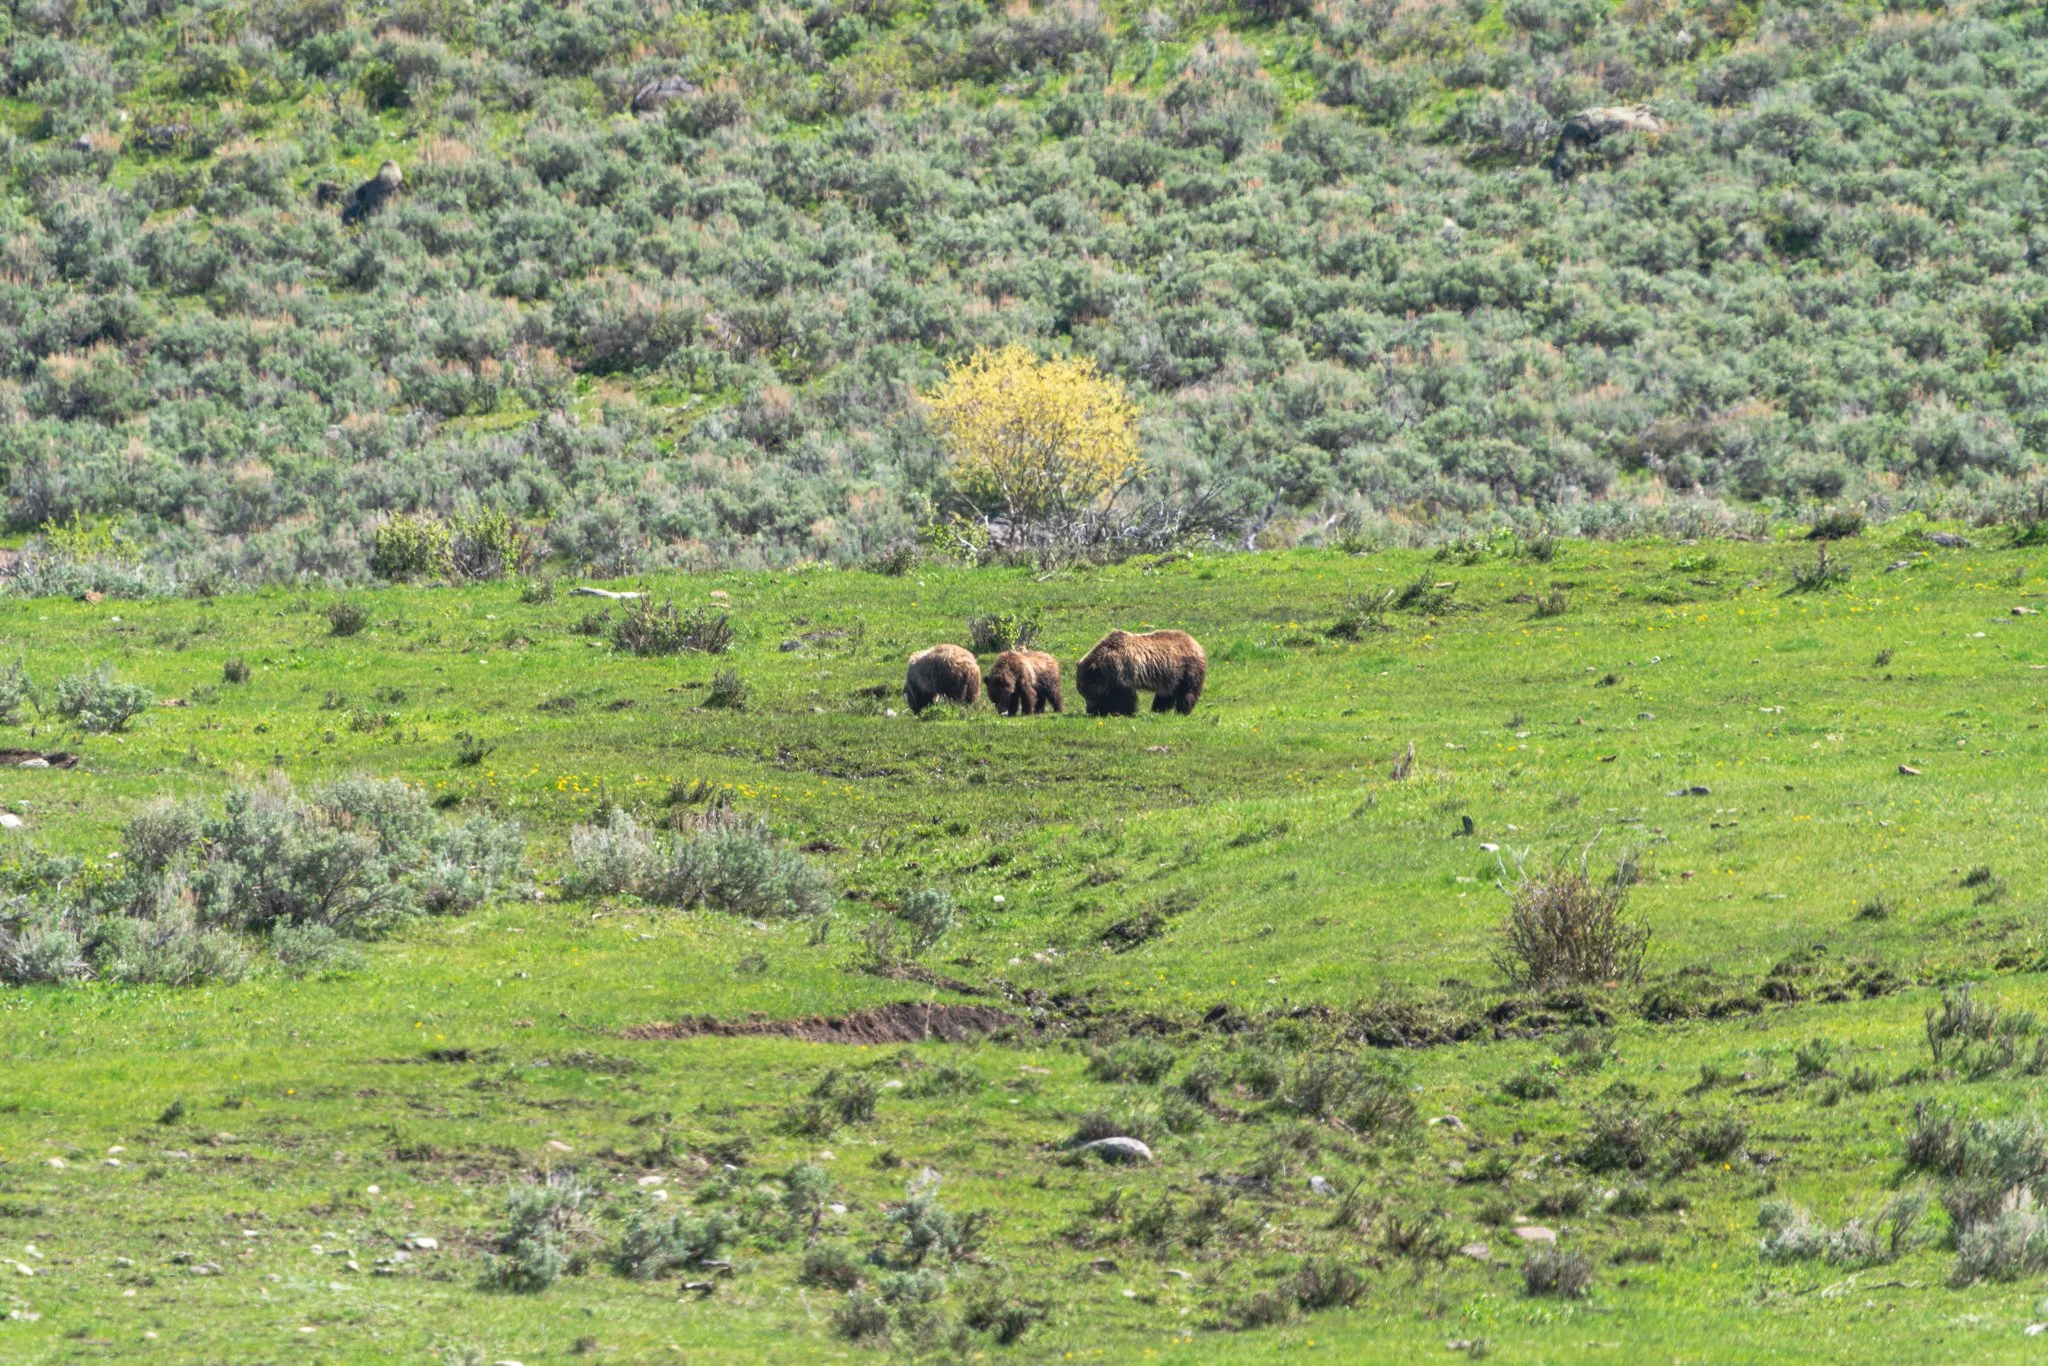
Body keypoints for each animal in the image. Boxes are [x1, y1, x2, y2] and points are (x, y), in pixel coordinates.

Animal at [1076, 629, 1206, 716]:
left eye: (1089, 691)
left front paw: (1121, 712)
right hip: (1170, 676)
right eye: (1082, 690)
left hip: (1187, 669)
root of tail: (1196, 643)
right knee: (1166, 694)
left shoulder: (1122, 672)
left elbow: (1124, 696)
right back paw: (1158, 710)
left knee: (1187, 692)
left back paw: (1182, 711)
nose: (1089, 709)